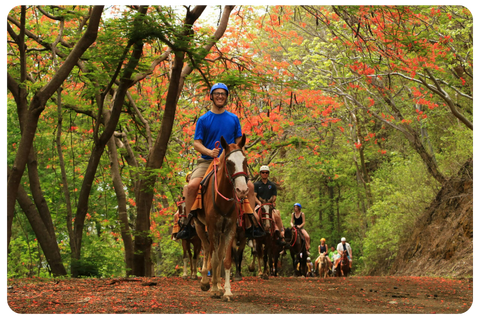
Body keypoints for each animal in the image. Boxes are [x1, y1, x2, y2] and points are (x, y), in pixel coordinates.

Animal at [193, 135, 249, 302]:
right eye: (229, 163)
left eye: (245, 161)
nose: (242, 190)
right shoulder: (212, 229)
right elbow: (214, 259)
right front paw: (213, 289)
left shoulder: (230, 229)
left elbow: (225, 260)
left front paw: (227, 291)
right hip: (200, 226)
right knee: (207, 250)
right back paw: (206, 282)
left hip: (221, 233)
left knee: (218, 254)